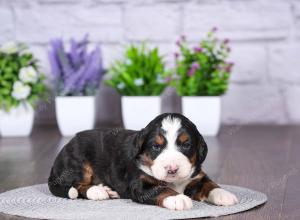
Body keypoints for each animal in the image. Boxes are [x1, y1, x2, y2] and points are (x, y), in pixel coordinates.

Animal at [48, 112, 238, 211]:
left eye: (186, 144)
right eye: (156, 146)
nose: (172, 168)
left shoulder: (196, 176)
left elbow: (209, 184)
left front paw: (224, 194)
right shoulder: (140, 184)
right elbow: (161, 189)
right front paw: (178, 199)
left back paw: (107, 190)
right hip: (79, 162)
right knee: (76, 185)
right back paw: (98, 191)